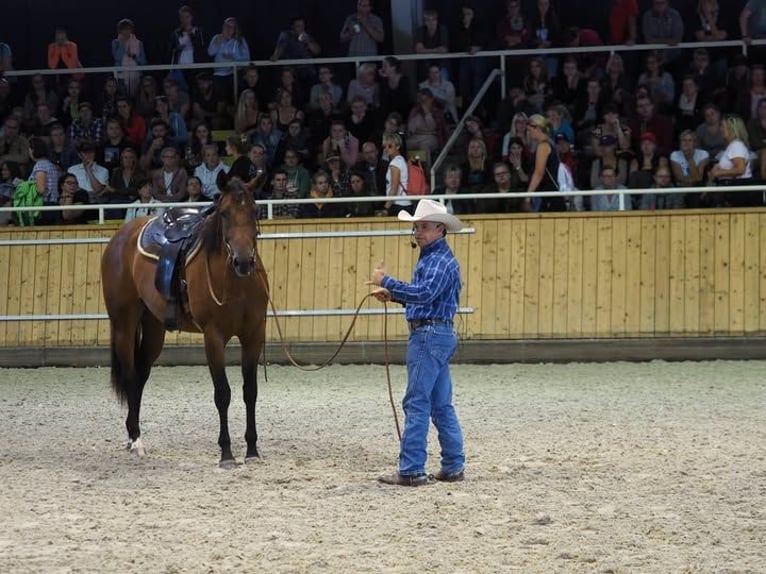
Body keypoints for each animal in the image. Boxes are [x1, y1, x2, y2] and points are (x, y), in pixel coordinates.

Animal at [102, 182, 270, 470]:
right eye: (224, 213)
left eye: (255, 211)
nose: (243, 261)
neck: (235, 283)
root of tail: (121, 237)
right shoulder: (213, 337)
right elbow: (222, 394)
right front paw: (226, 453)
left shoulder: (254, 334)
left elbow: (250, 392)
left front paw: (252, 450)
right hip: (124, 324)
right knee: (130, 376)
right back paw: (135, 440)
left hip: (154, 328)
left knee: (140, 376)